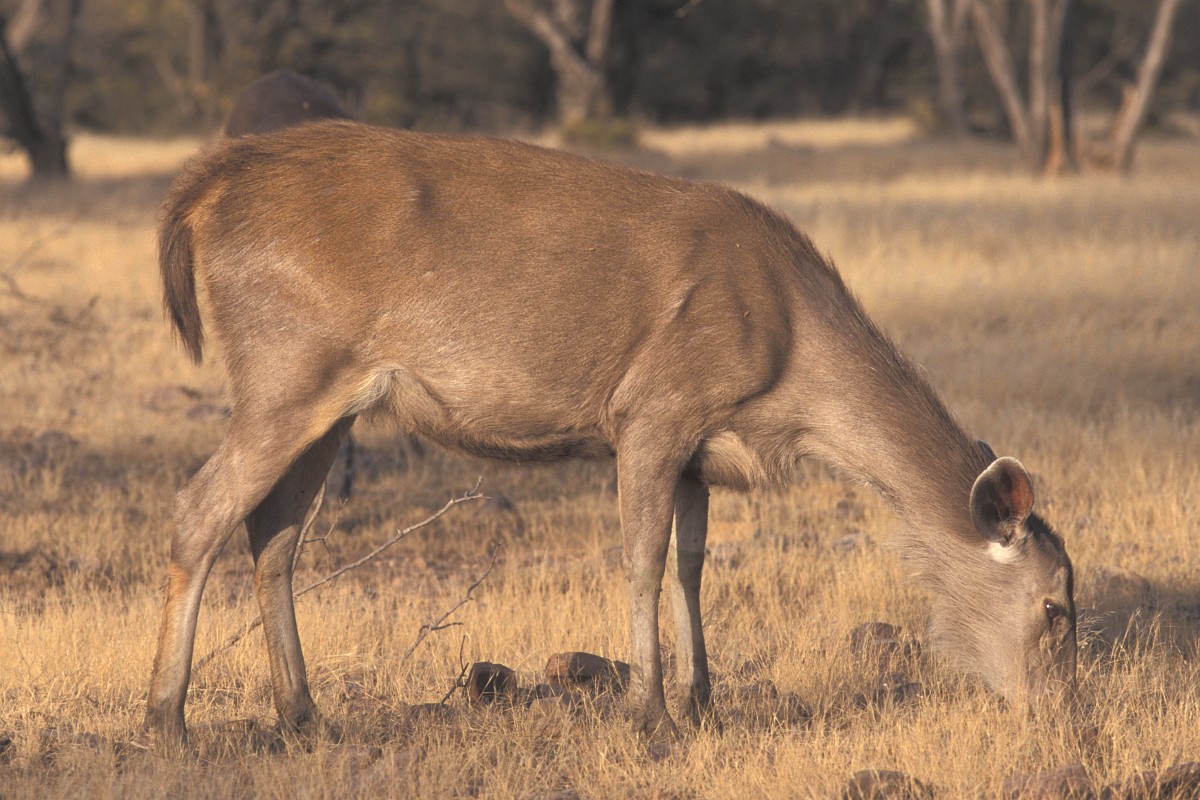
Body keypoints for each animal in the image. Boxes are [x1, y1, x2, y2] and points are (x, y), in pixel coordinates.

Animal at [146, 120, 1076, 748]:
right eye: (1057, 607)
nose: (1064, 714)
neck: (789, 370)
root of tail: (200, 193)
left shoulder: (700, 449)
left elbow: (695, 566)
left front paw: (705, 702)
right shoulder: (652, 408)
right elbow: (642, 560)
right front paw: (652, 715)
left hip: (327, 400)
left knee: (274, 532)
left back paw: (304, 716)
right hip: (287, 364)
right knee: (198, 509)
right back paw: (166, 719)